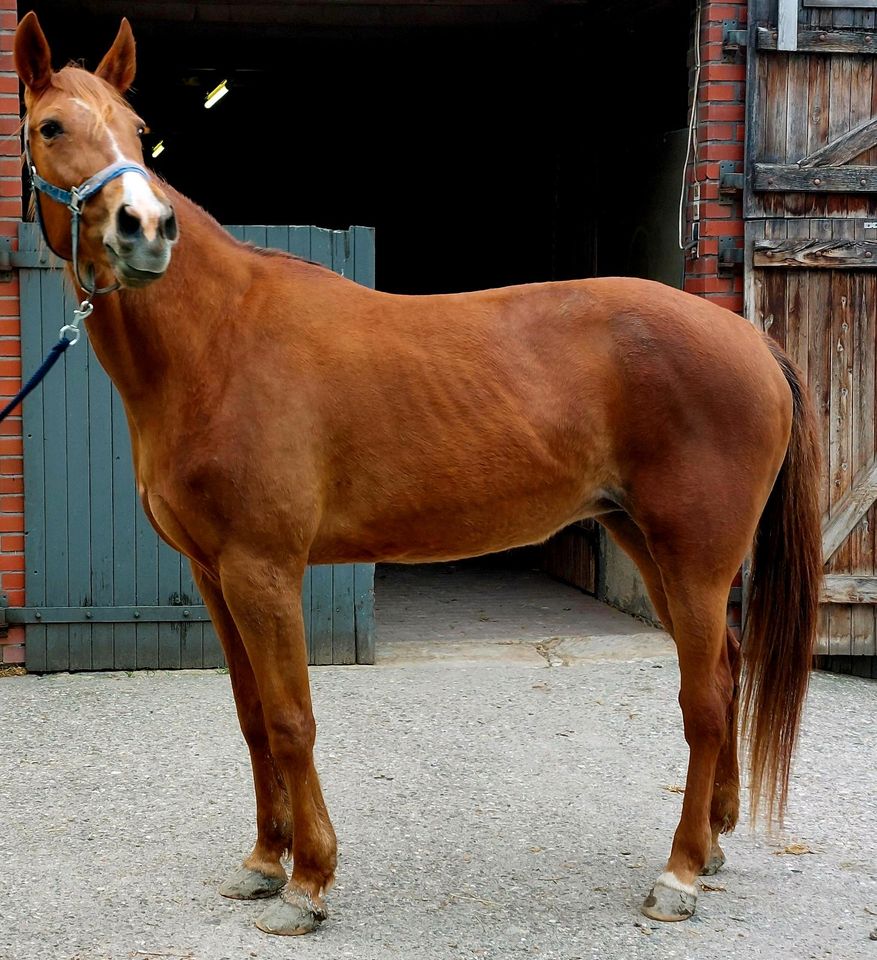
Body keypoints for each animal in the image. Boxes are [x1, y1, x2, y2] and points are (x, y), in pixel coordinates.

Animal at [12, 13, 820, 936]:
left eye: (139, 132)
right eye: (51, 127)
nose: (144, 227)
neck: (218, 341)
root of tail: (749, 339)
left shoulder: (264, 569)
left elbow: (291, 720)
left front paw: (308, 882)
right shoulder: (213, 573)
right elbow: (250, 718)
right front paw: (262, 862)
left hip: (694, 556)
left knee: (705, 701)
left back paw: (678, 874)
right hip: (644, 542)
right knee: (723, 668)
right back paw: (714, 841)